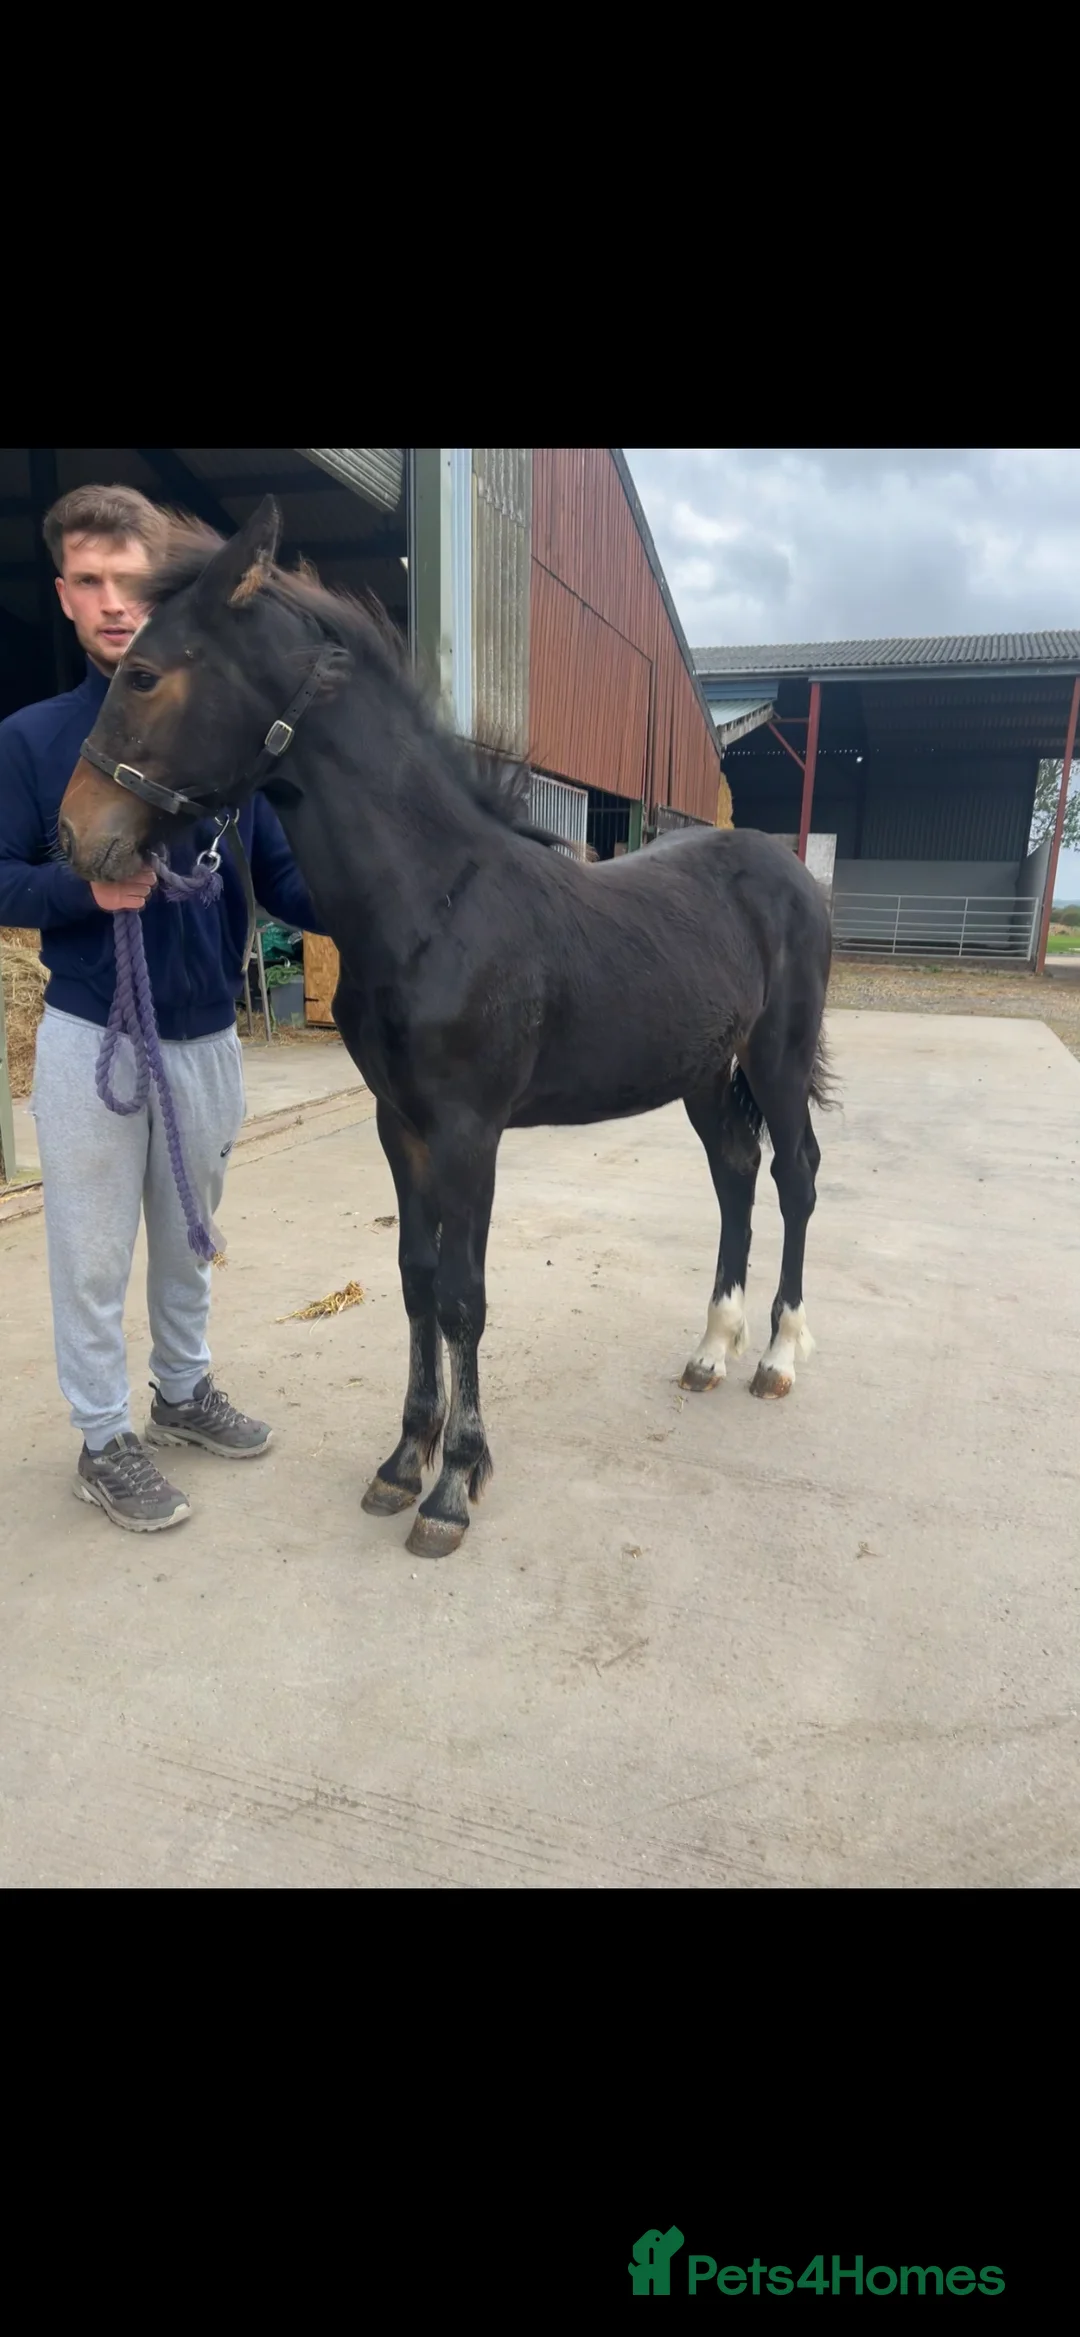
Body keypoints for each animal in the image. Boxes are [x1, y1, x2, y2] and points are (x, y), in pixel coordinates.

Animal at [57, 495, 835, 1561]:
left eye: (143, 673)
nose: (76, 835)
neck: (432, 901)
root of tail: (789, 870)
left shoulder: (470, 1131)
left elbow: (466, 1294)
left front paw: (456, 1486)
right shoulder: (403, 1125)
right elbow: (418, 1279)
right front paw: (402, 1462)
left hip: (777, 1056)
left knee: (794, 1176)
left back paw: (780, 1357)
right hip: (706, 1073)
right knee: (735, 1174)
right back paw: (712, 1349)